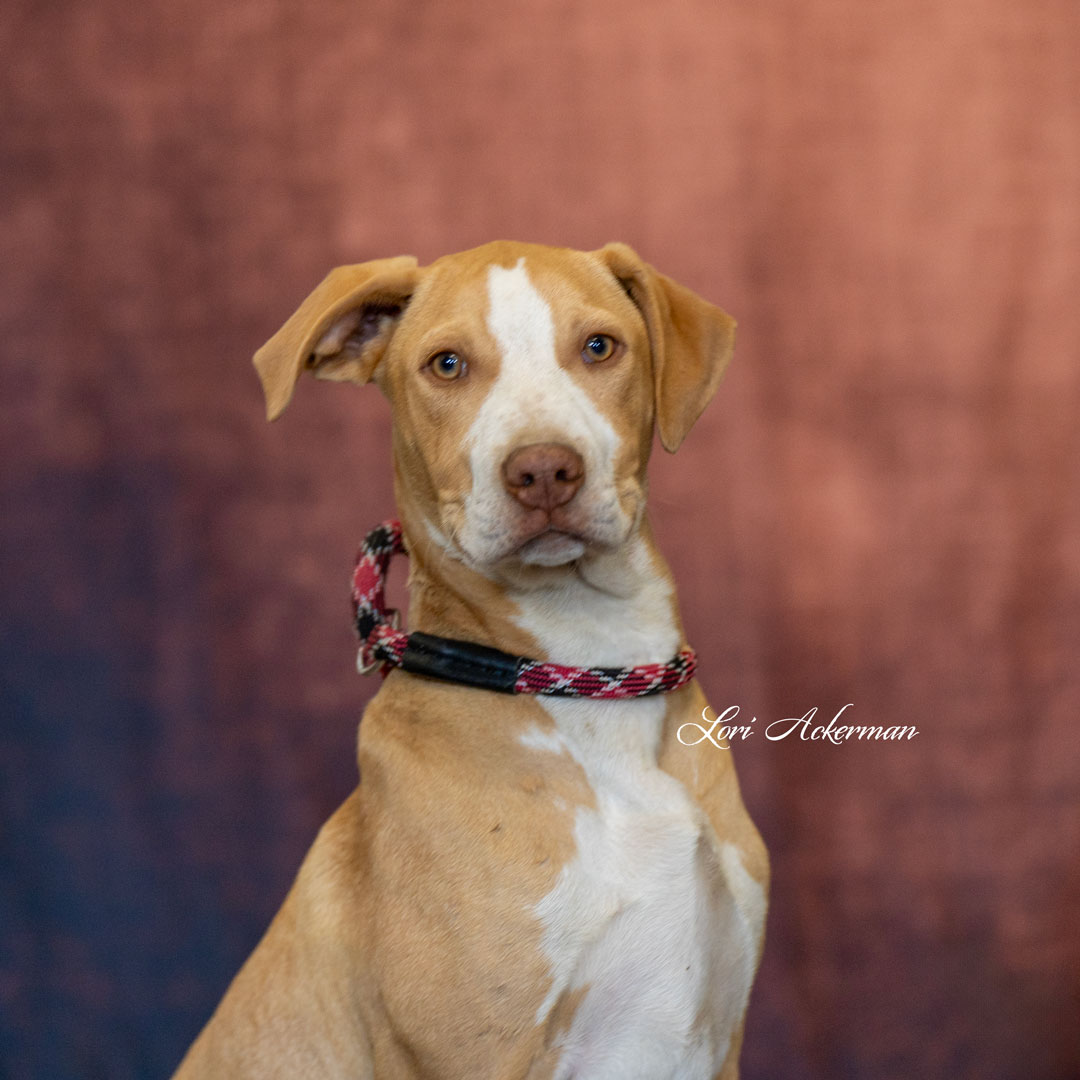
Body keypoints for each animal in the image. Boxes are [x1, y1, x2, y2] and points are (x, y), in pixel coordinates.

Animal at [172, 240, 768, 1075]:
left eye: (599, 347)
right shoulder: (472, 1055)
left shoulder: (715, 1036)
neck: (591, 686)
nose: (544, 470)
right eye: (447, 364)